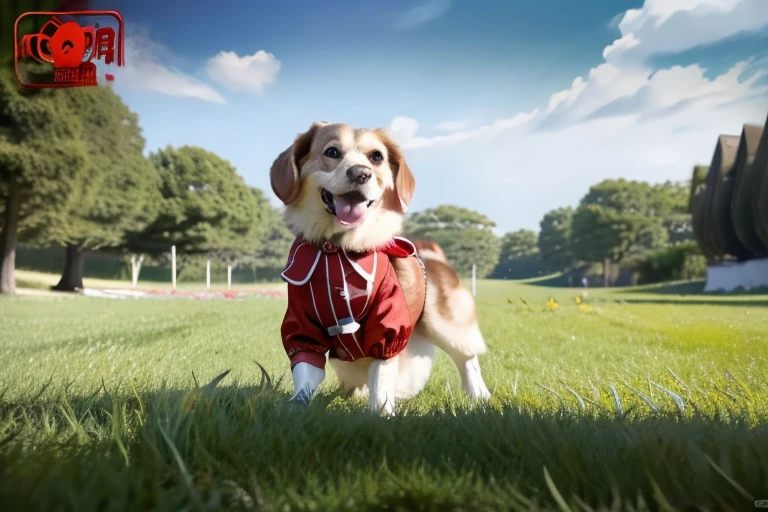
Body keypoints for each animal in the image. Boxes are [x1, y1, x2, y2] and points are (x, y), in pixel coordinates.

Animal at [272, 121, 492, 416]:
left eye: (376, 157)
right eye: (332, 151)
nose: (360, 173)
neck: (338, 250)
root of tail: (432, 252)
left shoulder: (388, 326)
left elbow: (382, 376)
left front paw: (382, 414)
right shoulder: (302, 326)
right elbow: (305, 371)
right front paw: (297, 408)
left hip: (443, 323)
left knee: (467, 357)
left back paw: (479, 394)